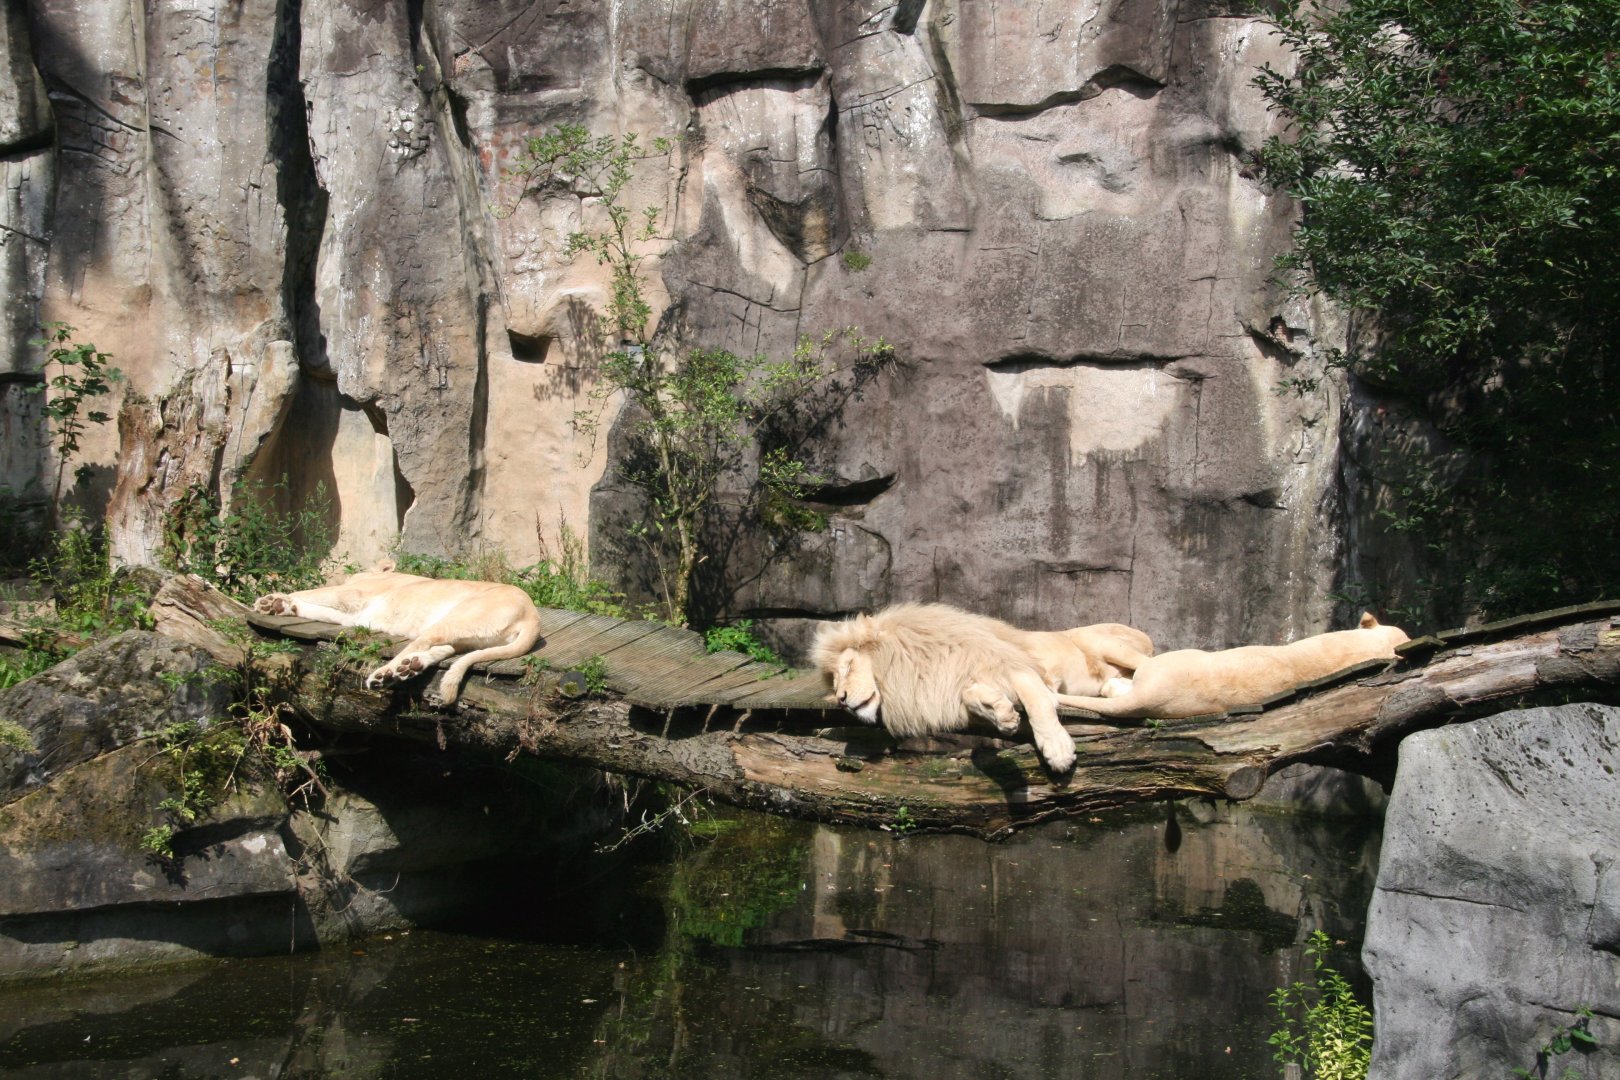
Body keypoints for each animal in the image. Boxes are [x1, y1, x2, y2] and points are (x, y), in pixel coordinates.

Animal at [254, 566, 543, 705]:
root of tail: (532, 617)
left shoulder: (352, 594)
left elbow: (313, 592)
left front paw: (268, 601)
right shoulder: (354, 617)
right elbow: (315, 606)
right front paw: (280, 606)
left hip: (458, 616)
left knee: (422, 642)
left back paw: (387, 674)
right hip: (467, 636)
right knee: (444, 650)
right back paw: (409, 668)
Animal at [810, 602, 1108, 775]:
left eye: (848, 666)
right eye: (834, 683)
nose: (841, 700)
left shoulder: (1018, 667)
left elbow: (1040, 704)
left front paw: (1058, 751)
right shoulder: (949, 689)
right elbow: (970, 696)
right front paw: (1001, 713)